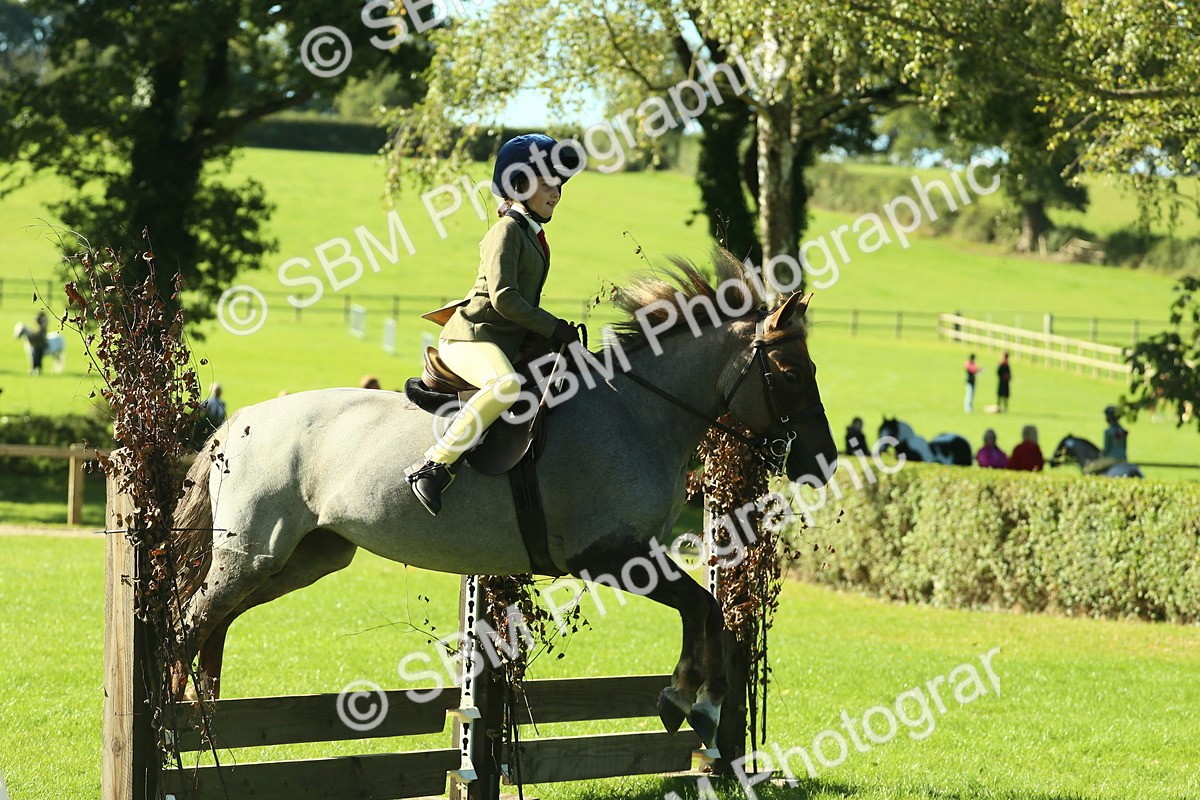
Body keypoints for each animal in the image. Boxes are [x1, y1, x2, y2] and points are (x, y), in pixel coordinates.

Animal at [168, 252, 838, 746]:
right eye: (793, 373)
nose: (823, 461)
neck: (637, 410)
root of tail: (237, 423)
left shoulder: (637, 553)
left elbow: (710, 610)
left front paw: (701, 702)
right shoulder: (607, 556)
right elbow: (701, 606)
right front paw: (690, 701)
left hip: (305, 557)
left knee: (217, 621)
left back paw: (202, 713)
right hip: (252, 555)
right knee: (191, 620)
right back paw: (172, 725)